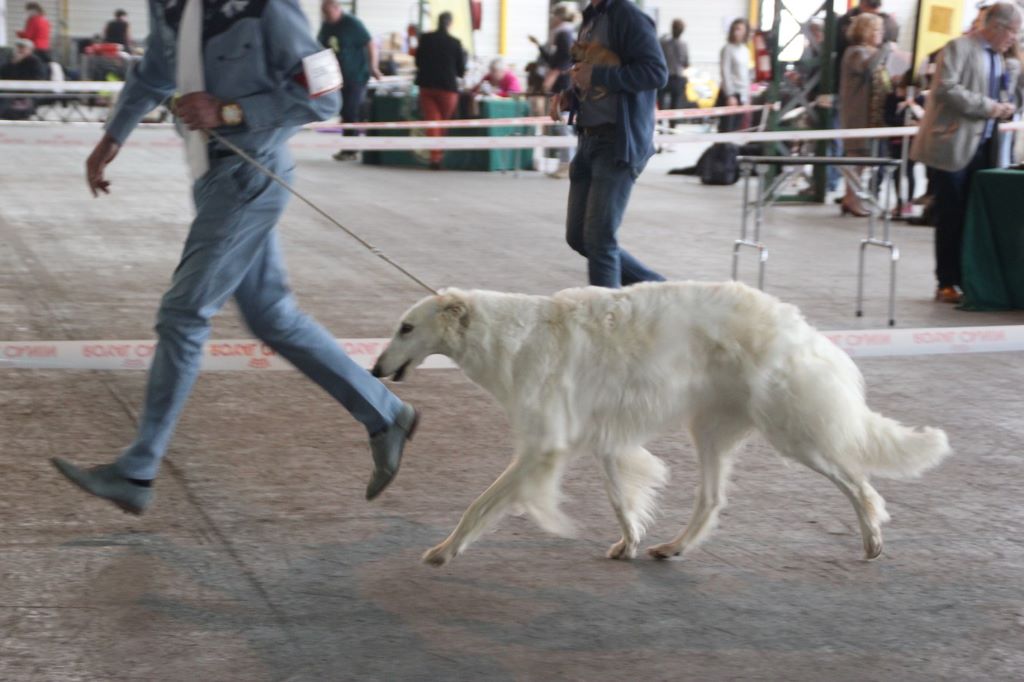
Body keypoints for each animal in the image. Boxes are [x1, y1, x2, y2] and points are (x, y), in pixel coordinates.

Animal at [374, 278, 950, 565]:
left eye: (406, 328)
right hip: (711, 430)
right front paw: (628, 542)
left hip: (792, 433)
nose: (375, 369)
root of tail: (796, 323)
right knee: (711, 500)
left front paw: (443, 552)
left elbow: (480, 505)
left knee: (859, 482)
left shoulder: (543, 447)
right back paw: (672, 547)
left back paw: (873, 538)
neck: (514, 337)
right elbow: (621, 501)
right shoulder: (601, 439)